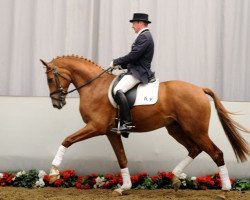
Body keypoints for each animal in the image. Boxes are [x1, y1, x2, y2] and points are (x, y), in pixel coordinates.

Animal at [40, 55, 249, 199]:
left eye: (50, 79)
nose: (57, 104)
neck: (94, 86)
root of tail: (199, 89)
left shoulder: (96, 127)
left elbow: (67, 140)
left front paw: (53, 172)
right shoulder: (110, 132)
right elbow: (122, 158)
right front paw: (123, 187)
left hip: (195, 130)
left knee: (216, 153)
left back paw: (225, 190)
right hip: (176, 129)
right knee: (195, 149)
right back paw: (175, 177)